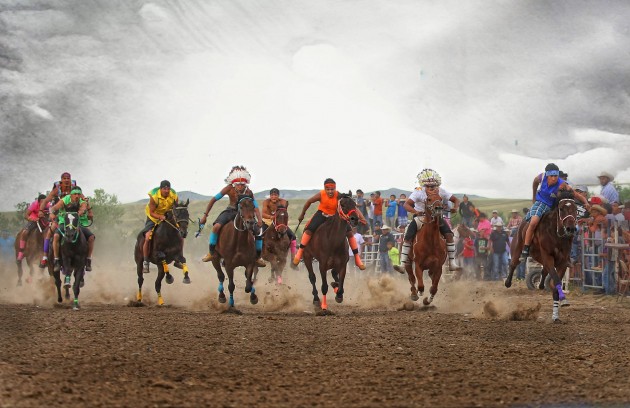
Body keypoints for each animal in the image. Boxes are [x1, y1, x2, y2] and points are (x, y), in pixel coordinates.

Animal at [506, 191, 580, 322]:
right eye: (561, 209)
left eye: (575, 209)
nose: (571, 228)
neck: (556, 234)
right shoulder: (548, 257)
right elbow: (556, 280)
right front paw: (563, 299)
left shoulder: (562, 262)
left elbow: (556, 285)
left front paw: (556, 315)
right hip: (517, 249)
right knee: (513, 263)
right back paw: (508, 282)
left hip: (538, 256)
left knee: (543, 270)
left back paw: (540, 283)